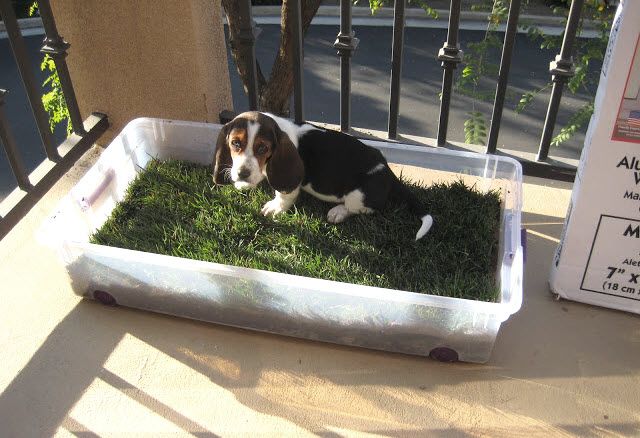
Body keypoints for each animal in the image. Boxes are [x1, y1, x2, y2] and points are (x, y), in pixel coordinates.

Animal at [215, 109, 436, 240]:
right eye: (235, 143)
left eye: (262, 148)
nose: (242, 173)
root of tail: (388, 172)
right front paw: (242, 183)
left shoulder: (289, 184)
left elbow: (284, 195)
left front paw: (275, 208)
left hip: (358, 195)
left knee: (364, 208)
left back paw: (338, 212)